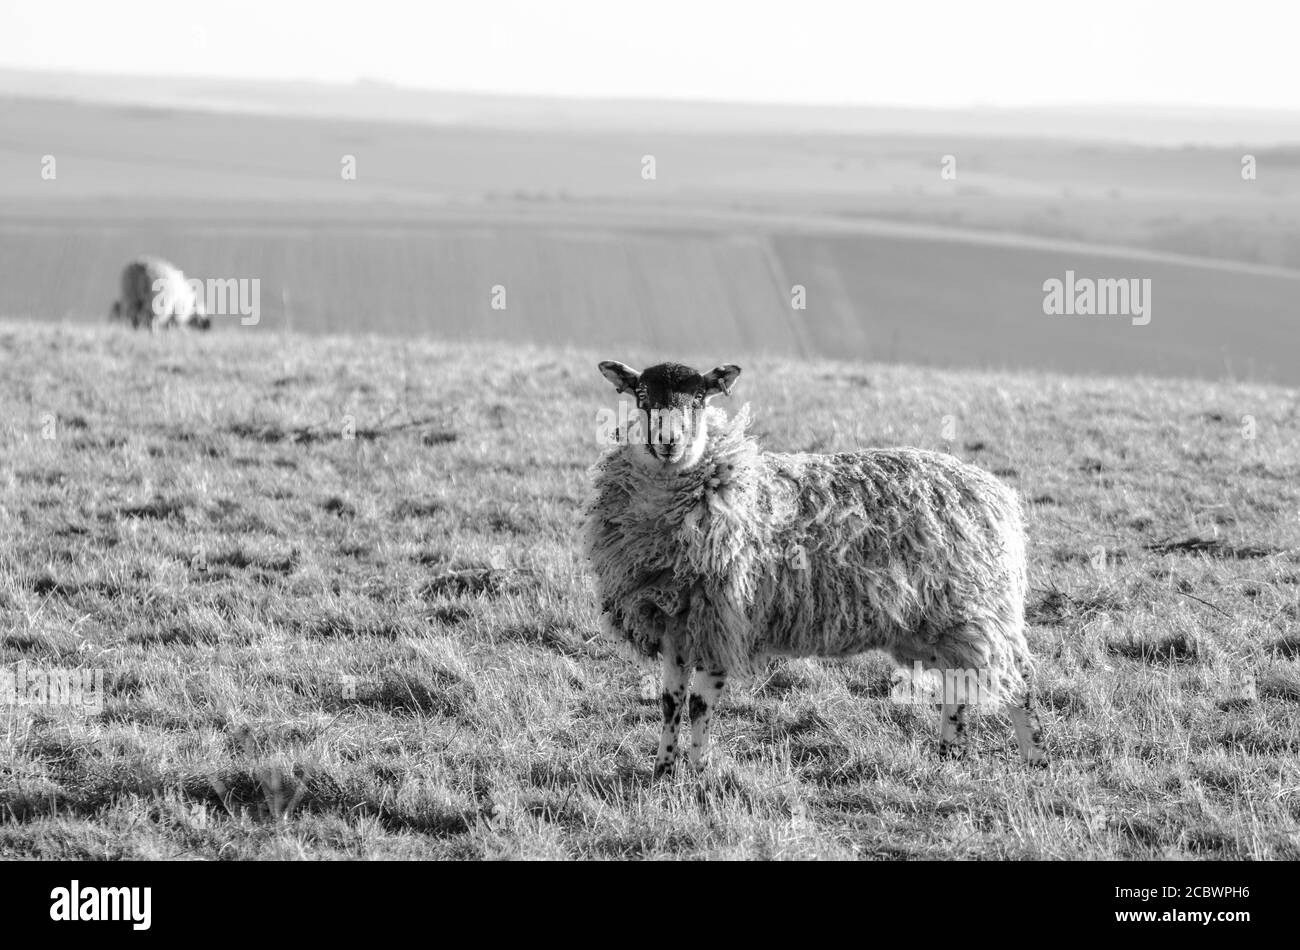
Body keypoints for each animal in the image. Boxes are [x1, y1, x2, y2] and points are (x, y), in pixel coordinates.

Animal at [584, 360, 1047, 778]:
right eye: (641, 397)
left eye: (700, 399)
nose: (668, 442)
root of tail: (996, 493)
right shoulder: (676, 624)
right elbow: (670, 703)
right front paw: (662, 770)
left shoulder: (723, 617)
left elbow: (700, 704)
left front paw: (697, 771)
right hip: (938, 622)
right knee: (958, 683)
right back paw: (949, 754)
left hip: (977, 607)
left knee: (1020, 680)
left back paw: (1036, 758)